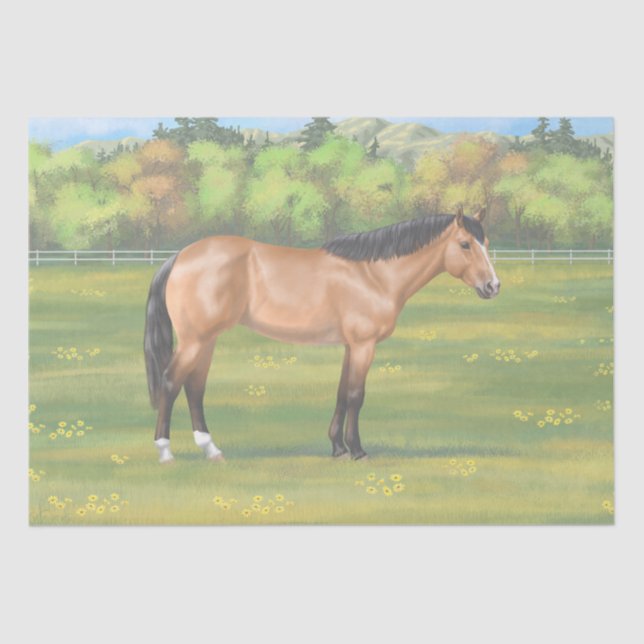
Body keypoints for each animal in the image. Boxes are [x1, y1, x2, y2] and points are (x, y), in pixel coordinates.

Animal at [144, 206, 500, 463]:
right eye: (465, 244)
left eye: (486, 244)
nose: (493, 286)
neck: (373, 275)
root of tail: (181, 256)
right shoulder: (363, 345)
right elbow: (356, 395)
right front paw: (357, 451)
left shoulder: (350, 346)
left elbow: (342, 393)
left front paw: (337, 448)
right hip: (195, 341)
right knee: (171, 383)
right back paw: (165, 452)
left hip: (207, 340)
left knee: (194, 388)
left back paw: (212, 450)